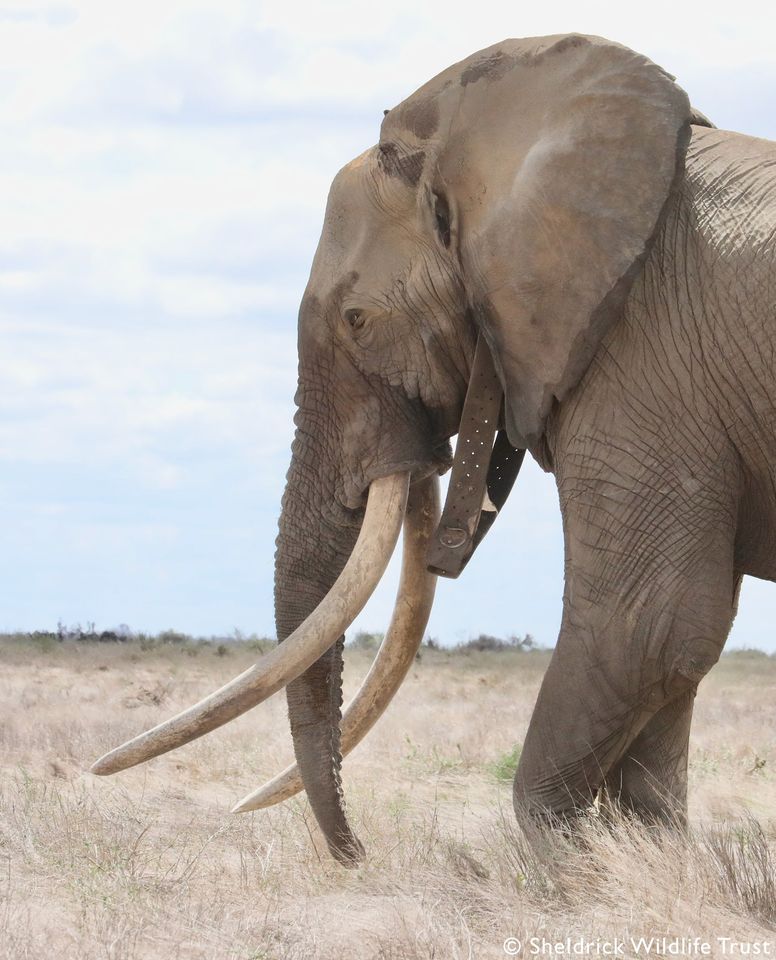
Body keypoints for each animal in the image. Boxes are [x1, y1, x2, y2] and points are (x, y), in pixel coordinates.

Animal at [92, 34, 776, 868]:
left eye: (357, 321)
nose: (356, 856)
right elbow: (670, 654)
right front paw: (643, 856)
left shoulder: (643, 355)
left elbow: (653, 617)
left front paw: (572, 864)